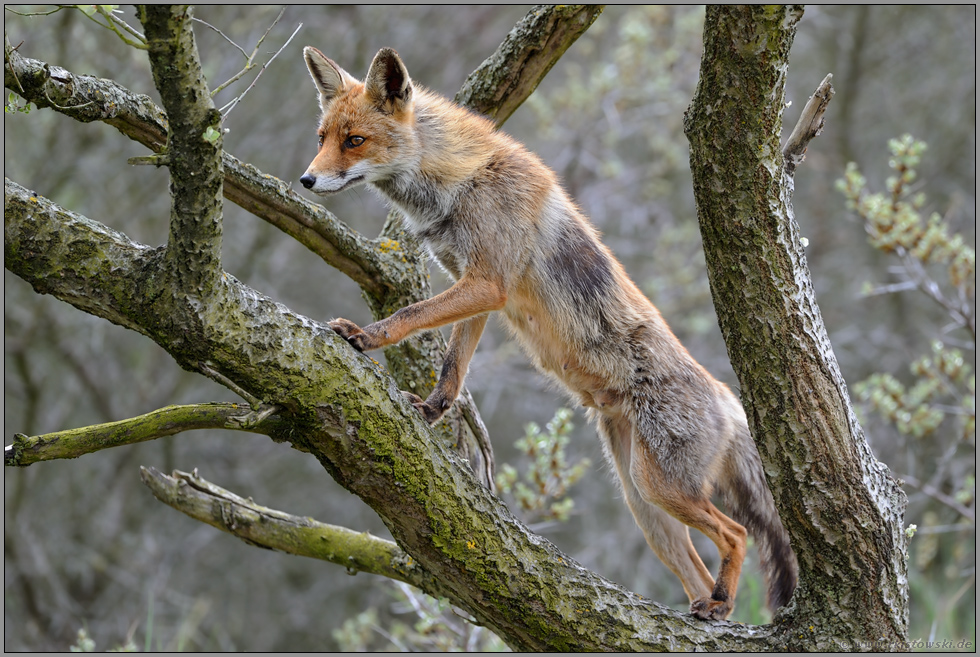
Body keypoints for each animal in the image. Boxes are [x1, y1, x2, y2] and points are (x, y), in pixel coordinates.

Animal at [298, 46, 796, 620]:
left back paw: (720, 602)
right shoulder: (474, 286)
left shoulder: (487, 283)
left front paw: (365, 337)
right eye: (322, 138)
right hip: (645, 504)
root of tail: (729, 398)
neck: (458, 183)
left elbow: (409, 315)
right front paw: (432, 410)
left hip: (662, 488)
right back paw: (707, 608)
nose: (306, 180)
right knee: (697, 566)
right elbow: (452, 367)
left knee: (737, 533)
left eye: (354, 141)